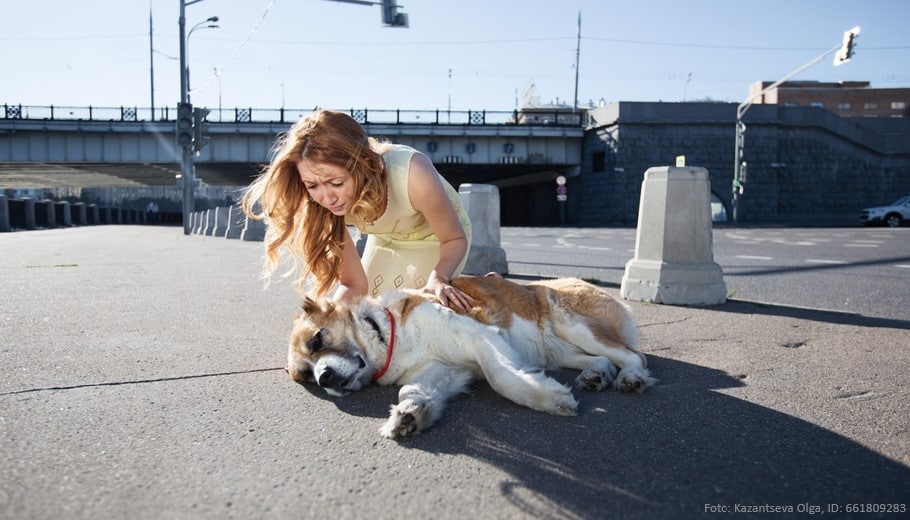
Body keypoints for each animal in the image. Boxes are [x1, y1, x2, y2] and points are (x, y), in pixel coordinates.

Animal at [286, 276, 656, 438]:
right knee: (600, 360)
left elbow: (501, 377)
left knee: (633, 355)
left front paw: (548, 399)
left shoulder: (480, 337)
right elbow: (411, 390)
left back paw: (631, 378)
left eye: (318, 340)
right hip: (556, 350)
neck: (390, 334)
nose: (324, 377)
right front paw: (409, 414)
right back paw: (596, 375)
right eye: (306, 376)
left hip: (574, 325)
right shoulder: (443, 370)